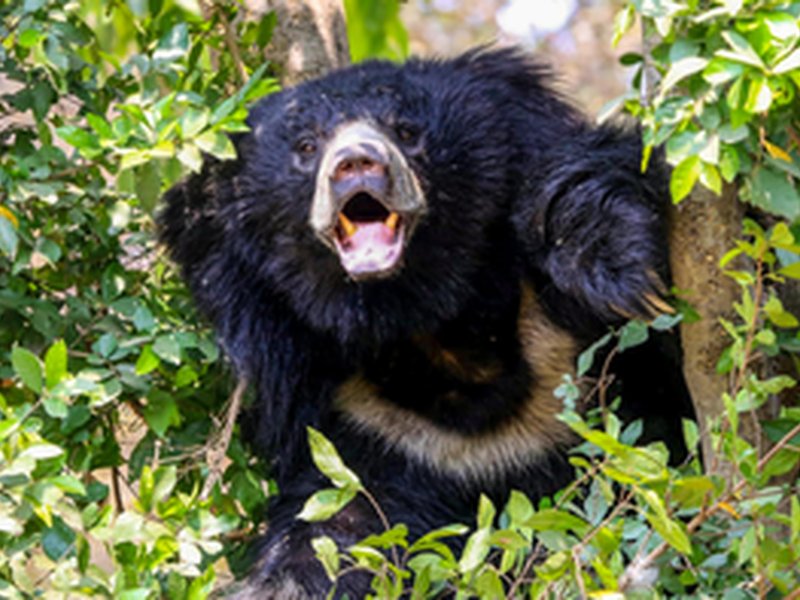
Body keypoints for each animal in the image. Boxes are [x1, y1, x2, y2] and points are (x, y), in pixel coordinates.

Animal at [159, 47, 693, 597]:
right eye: (307, 146)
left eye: (407, 131)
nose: (356, 163)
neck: (432, 326)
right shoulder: (370, 429)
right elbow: (340, 532)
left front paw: (618, 265)